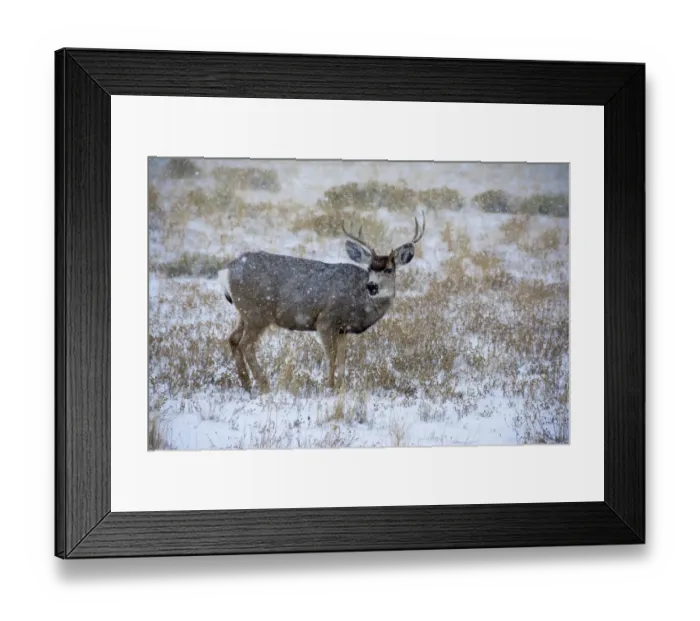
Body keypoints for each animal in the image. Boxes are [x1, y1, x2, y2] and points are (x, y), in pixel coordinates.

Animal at [218, 211, 426, 394]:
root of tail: (228, 270)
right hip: (258, 313)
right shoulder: (326, 320)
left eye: (389, 270)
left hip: (245, 313)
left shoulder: (343, 329)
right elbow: (331, 356)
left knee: (233, 339)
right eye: (369, 268)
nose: (372, 286)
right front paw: (330, 387)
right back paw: (264, 385)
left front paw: (341, 386)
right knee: (246, 344)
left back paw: (246, 384)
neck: (359, 302)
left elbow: (342, 359)